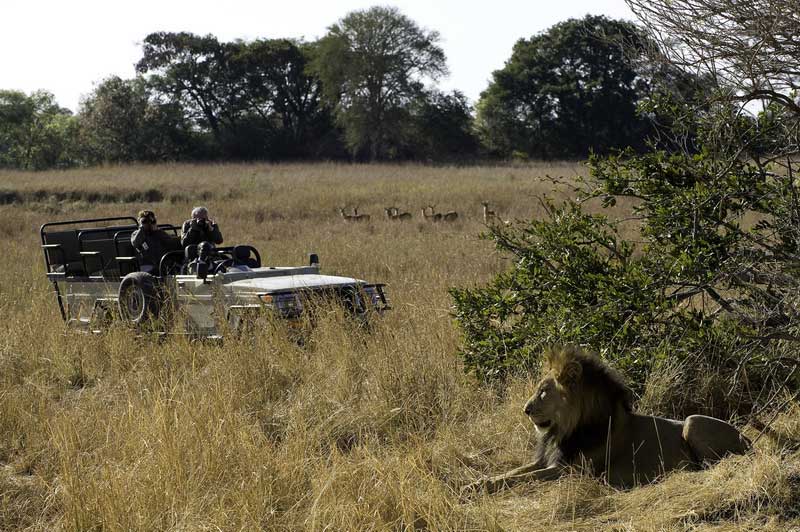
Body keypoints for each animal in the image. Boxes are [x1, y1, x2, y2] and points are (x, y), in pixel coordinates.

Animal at [462, 344, 752, 494]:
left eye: (543, 392)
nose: (525, 409)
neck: (563, 430)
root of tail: (749, 439)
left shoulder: (569, 471)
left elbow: (520, 479)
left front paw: (479, 487)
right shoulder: (546, 460)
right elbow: (511, 473)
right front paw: (475, 483)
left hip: (692, 421)